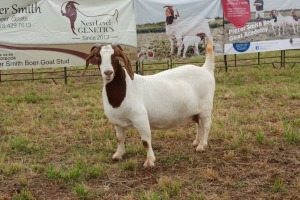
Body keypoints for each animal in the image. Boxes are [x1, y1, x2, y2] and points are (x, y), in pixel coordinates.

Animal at [85, 39, 216, 167]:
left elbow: (145, 141)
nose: (108, 72)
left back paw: (202, 146)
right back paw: (196, 142)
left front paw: (149, 161)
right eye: (98, 56)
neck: (125, 88)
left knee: (206, 125)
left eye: (116, 56)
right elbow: (119, 138)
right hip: (195, 111)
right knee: (199, 124)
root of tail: (205, 69)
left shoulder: (141, 119)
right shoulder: (117, 122)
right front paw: (118, 155)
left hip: (206, 108)